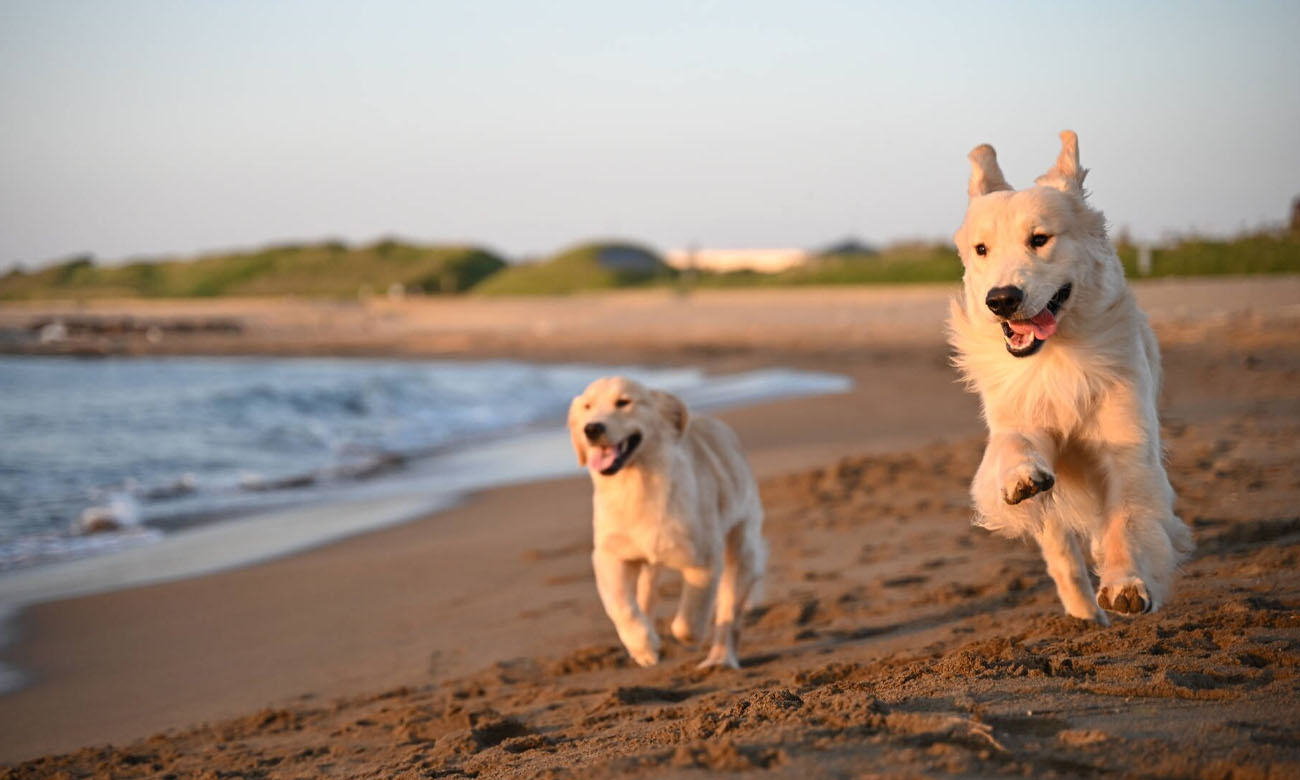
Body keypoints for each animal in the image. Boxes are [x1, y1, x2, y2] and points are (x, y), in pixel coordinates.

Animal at [566, 374, 759, 665]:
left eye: (623, 402)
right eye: (587, 407)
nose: (592, 429)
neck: (636, 486)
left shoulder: (704, 558)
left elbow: (688, 620)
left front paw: (687, 637)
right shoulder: (609, 555)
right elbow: (622, 606)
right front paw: (643, 646)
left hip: (740, 546)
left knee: (729, 610)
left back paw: (720, 658)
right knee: (645, 594)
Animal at [951, 131, 1190, 624]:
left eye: (1040, 239)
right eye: (982, 250)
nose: (1001, 299)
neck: (1055, 356)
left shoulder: (1127, 443)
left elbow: (1127, 517)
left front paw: (1126, 583)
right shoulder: (1018, 416)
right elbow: (1014, 446)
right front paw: (1020, 476)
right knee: (1062, 556)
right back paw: (1083, 616)